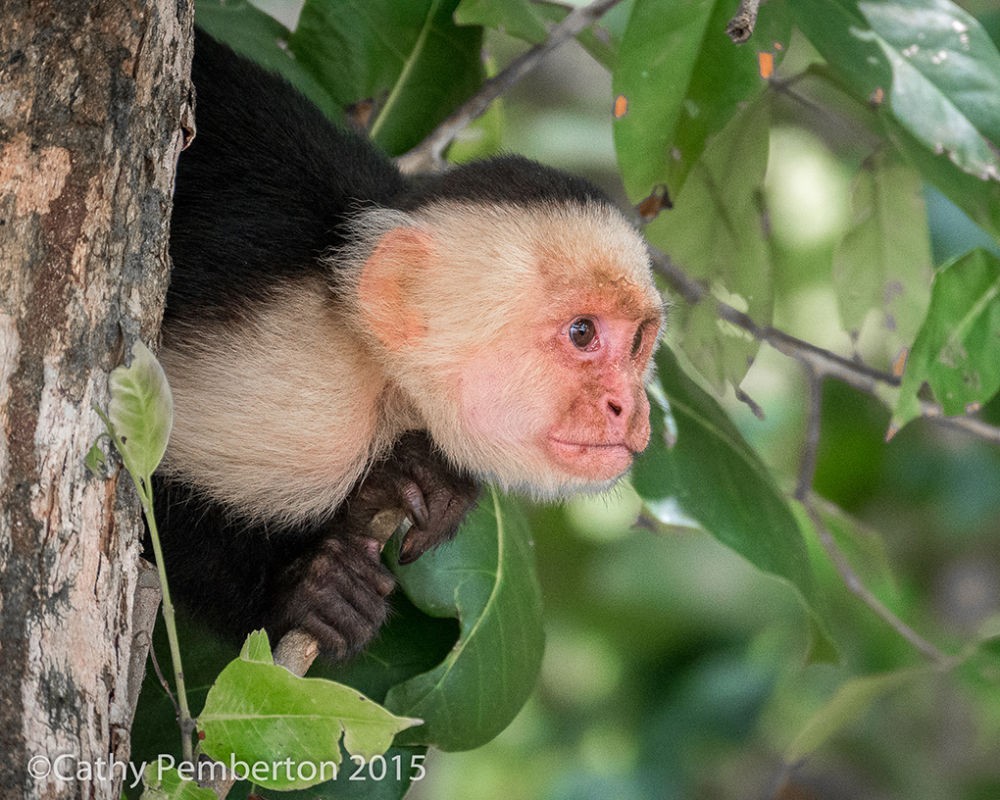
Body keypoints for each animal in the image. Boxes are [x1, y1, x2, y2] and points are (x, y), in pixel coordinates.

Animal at [154, 31, 664, 661]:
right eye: (583, 333)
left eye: (638, 341)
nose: (631, 407)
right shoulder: (308, 404)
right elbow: (145, 478)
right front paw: (303, 591)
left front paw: (418, 481)